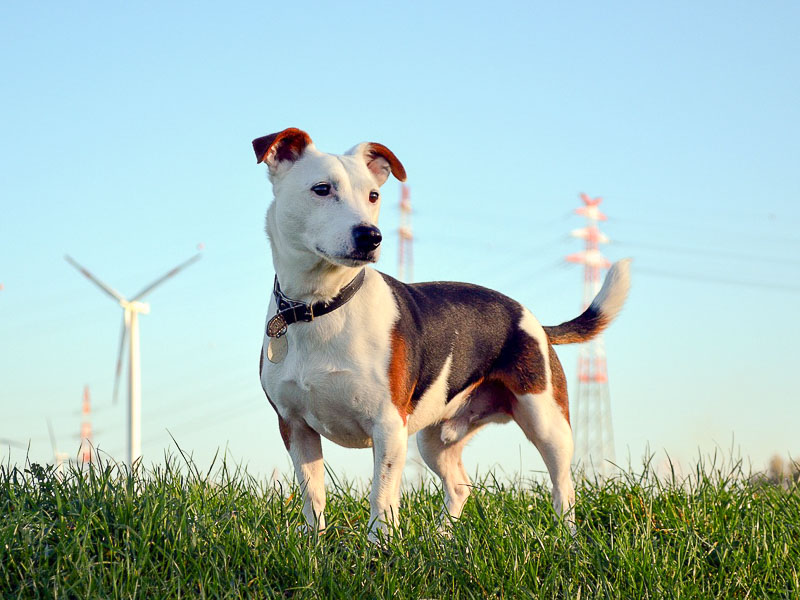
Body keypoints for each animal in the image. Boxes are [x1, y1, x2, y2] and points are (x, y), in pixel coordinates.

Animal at [256, 129, 632, 540]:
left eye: (373, 195)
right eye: (322, 189)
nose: (371, 236)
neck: (322, 305)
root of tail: (531, 318)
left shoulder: (389, 427)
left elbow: (381, 498)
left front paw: (380, 547)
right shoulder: (294, 426)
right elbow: (313, 496)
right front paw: (314, 545)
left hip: (547, 422)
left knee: (563, 486)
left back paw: (567, 539)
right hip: (433, 439)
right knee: (460, 486)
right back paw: (441, 538)